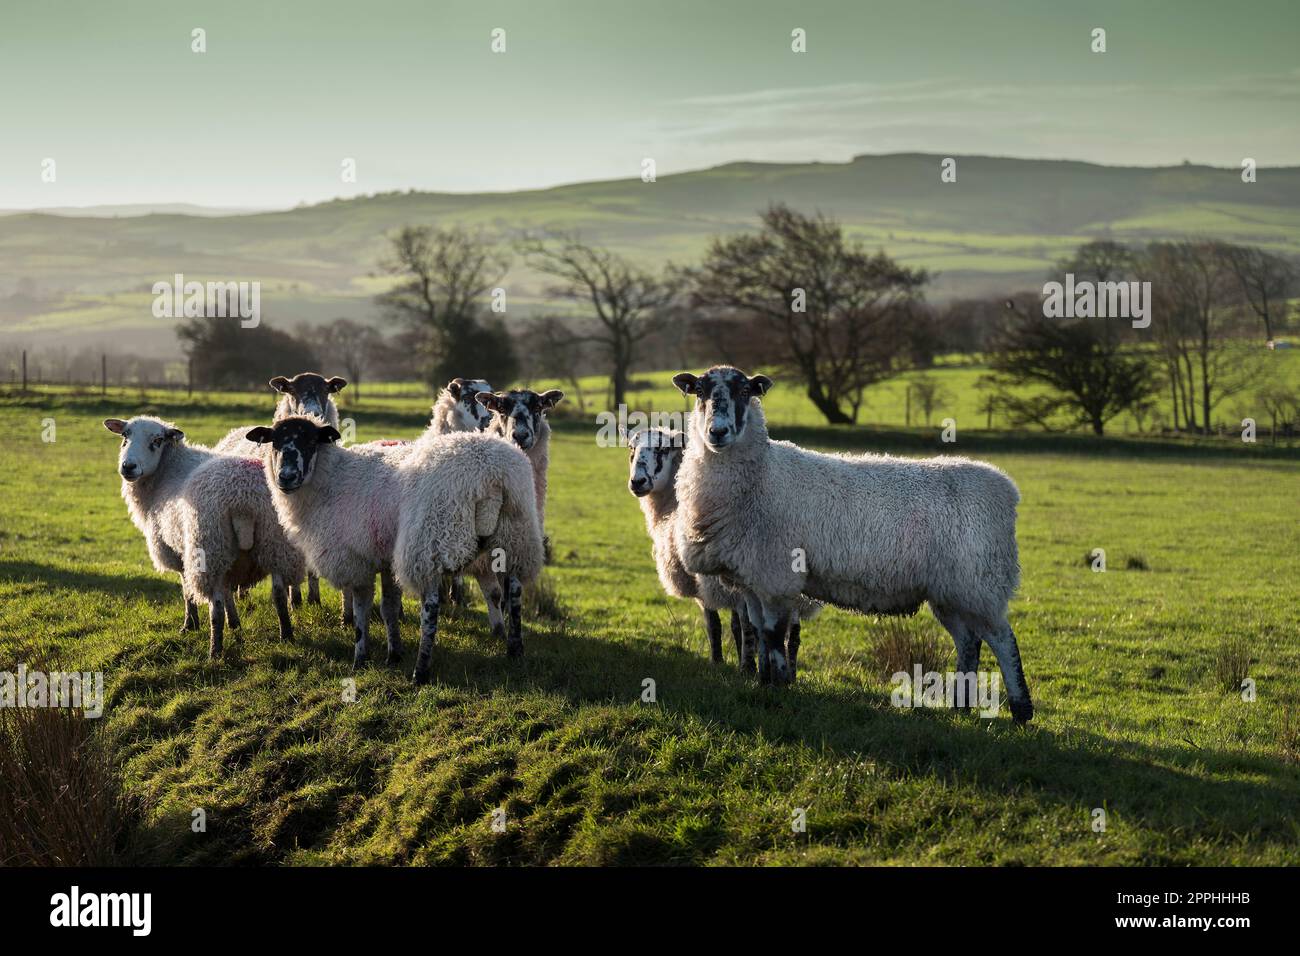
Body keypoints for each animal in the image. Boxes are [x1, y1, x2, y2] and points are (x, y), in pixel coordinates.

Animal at [104, 416, 306, 660]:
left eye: (157, 440)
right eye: (125, 436)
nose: (128, 467)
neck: (168, 471)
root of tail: (243, 498)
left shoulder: (180, 552)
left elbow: (187, 592)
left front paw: (189, 626)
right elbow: (229, 591)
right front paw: (235, 624)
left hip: (209, 546)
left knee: (215, 605)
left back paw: (214, 650)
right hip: (273, 542)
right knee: (278, 593)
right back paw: (286, 635)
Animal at [214, 369, 345, 608]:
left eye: (326, 390)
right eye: (292, 391)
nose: (312, 413)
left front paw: (313, 600)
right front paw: (295, 600)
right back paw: (242, 596)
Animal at [244, 413, 543, 681]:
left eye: (309, 441)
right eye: (275, 442)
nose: (286, 477)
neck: (331, 479)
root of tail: (491, 473)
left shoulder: (357, 560)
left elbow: (362, 609)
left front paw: (360, 658)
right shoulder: (385, 558)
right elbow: (388, 607)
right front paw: (393, 654)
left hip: (430, 537)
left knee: (431, 605)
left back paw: (421, 671)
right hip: (518, 533)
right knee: (515, 591)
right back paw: (515, 651)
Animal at [670, 361, 1034, 723]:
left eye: (745, 390)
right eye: (699, 391)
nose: (718, 432)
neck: (762, 475)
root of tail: (1007, 489)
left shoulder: (776, 576)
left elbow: (774, 636)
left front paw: (780, 689)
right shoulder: (752, 579)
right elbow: (759, 634)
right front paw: (763, 683)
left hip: (979, 582)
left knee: (1002, 639)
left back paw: (1021, 710)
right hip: (951, 590)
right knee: (969, 640)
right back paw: (962, 704)